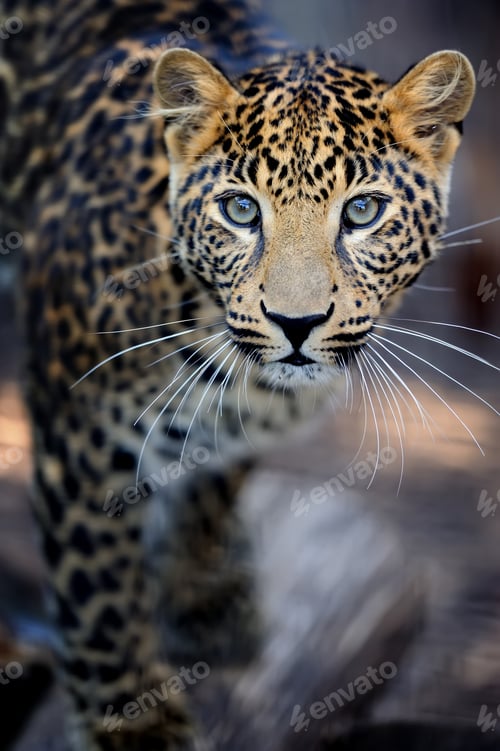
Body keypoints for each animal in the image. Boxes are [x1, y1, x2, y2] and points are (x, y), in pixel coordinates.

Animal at [0, 0, 476, 748]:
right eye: (241, 209)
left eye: (363, 211)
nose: (296, 323)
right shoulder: (75, 434)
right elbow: (101, 590)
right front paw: (134, 718)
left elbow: (213, 480)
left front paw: (200, 599)